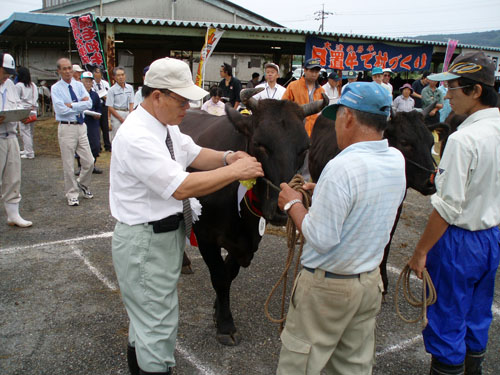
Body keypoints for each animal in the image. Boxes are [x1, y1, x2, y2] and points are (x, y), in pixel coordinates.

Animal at [179, 89, 328, 346]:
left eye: (304, 148)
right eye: (260, 144)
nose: (281, 209)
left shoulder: (249, 240)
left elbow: (229, 274)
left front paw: (218, 310)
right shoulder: (206, 235)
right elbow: (219, 277)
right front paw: (226, 324)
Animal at [306, 106, 448, 296]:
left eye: (431, 142)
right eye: (405, 142)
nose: (431, 182)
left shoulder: (395, 209)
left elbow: (385, 243)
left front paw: (383, 279)